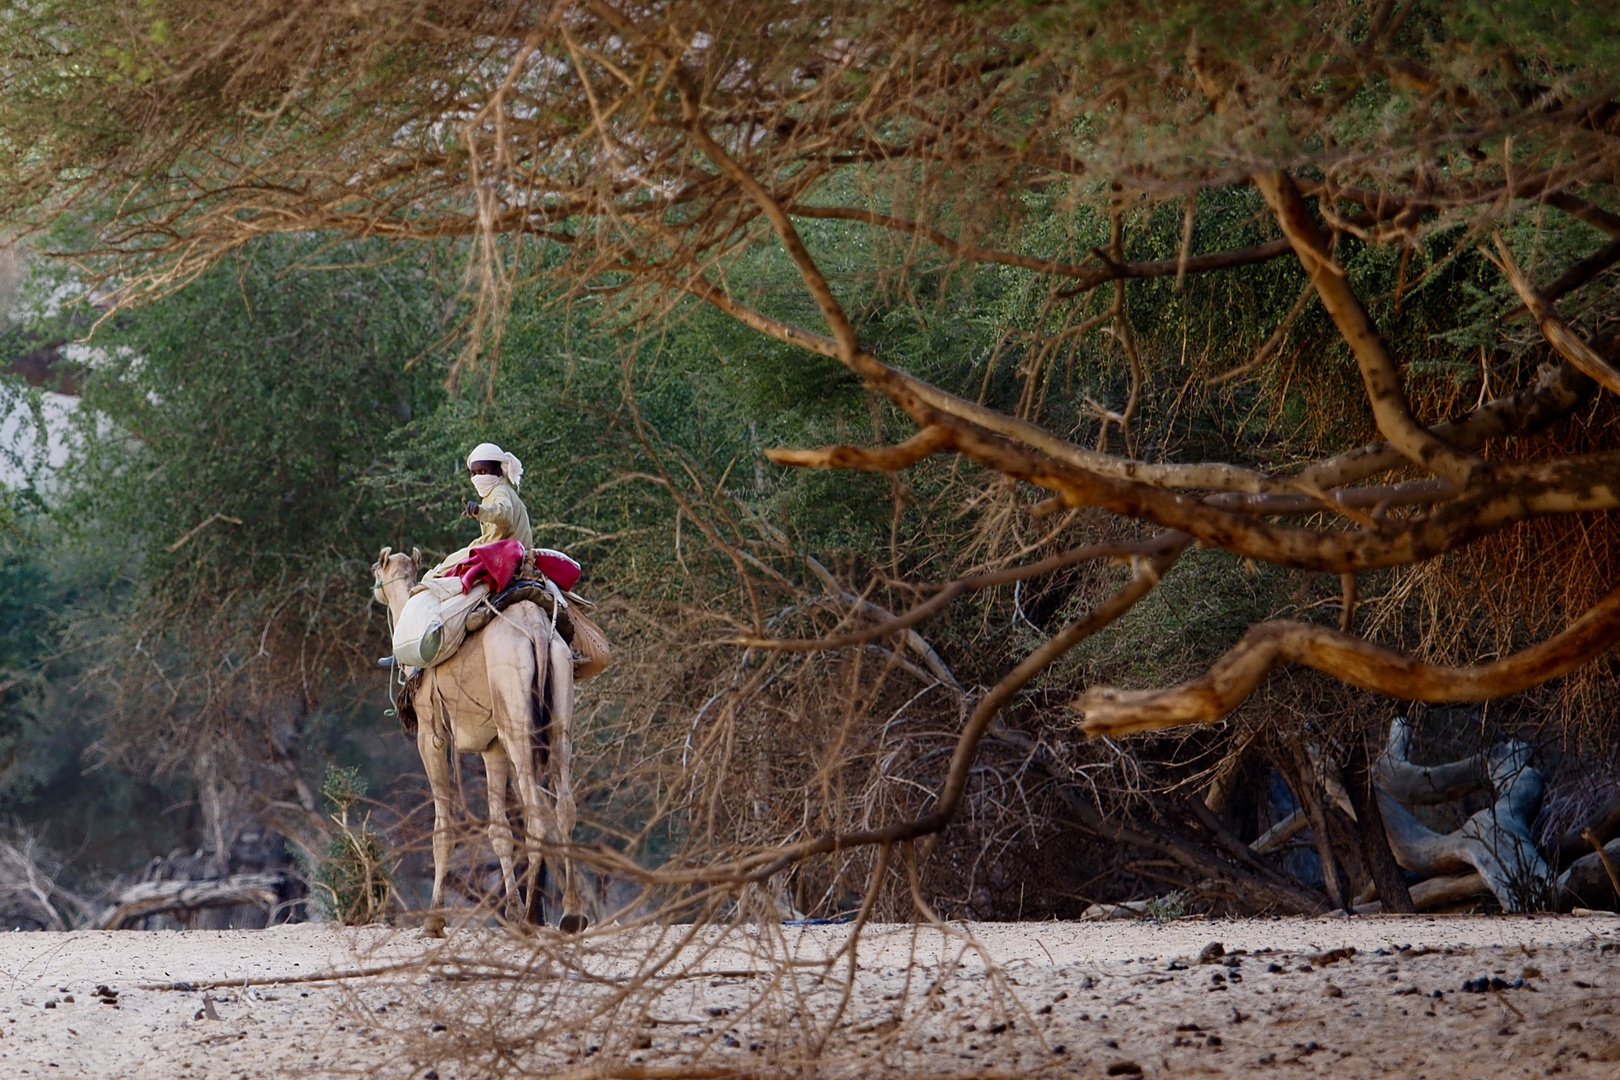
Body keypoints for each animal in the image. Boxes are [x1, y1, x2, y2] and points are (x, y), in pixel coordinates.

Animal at [370, 550, 586, 939]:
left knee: (536, 813)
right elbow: (498, 828)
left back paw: (532, 918)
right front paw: (511, 912)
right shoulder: (492, 746)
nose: (373, 585)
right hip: (559, 716)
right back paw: (570, 916)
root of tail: (535, 629)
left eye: (377, 569)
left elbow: (443, 828)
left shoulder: (431, 733)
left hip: (516, 716)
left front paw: (434, 922)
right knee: (563, 806)